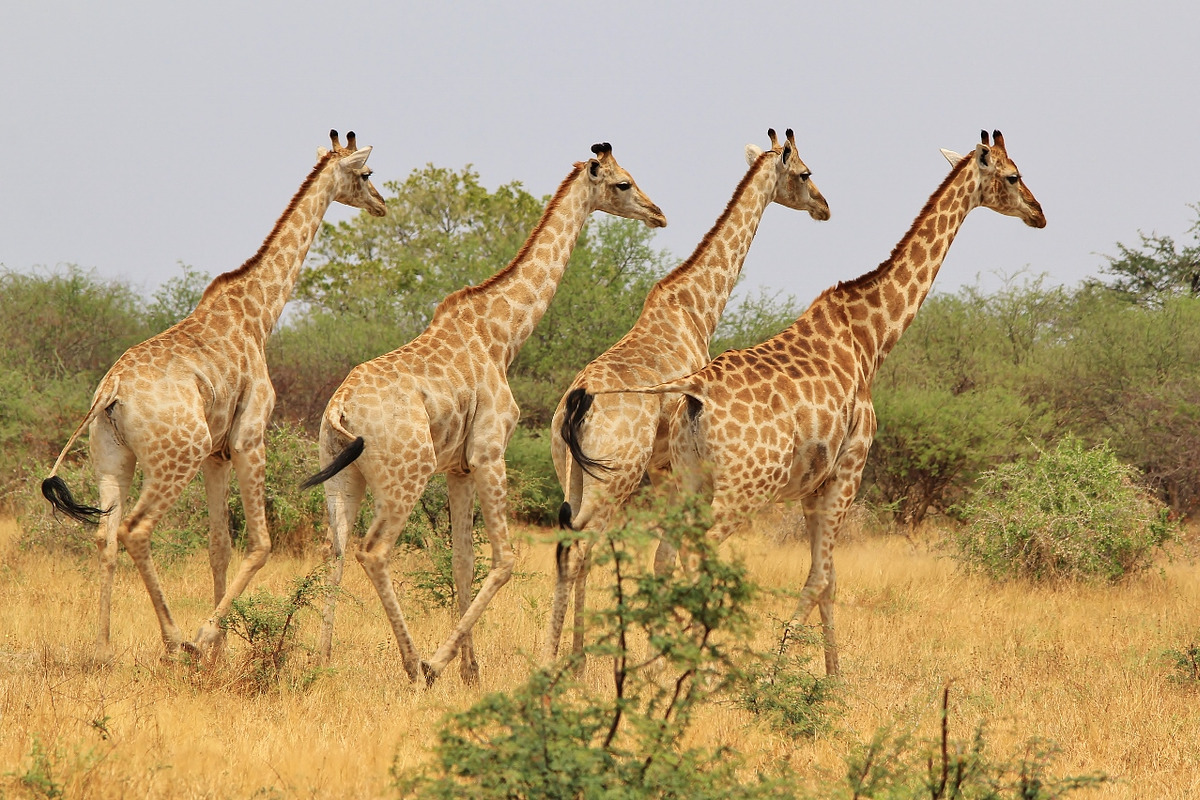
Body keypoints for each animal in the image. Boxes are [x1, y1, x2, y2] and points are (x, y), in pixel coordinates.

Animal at [42, 131, 387, 663]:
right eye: (367, 174)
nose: (382, 205)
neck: (261, 311)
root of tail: (111, 391)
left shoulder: (216, 455)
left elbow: (218, 545)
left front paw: (220, 648)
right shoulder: (249, 437)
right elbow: (261, 544)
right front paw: (207, 638)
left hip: (113, 456)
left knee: (105, 535)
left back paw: (101, 648)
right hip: (175, 456)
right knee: (135, 529)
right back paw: (175, 640)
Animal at [301, 143, 666, 686]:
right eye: (623, 183)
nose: (658, 213)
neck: (503, 335)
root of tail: (340, 409)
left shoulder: (458, 466)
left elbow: (461, 561)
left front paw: (470, 671)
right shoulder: (489, 452)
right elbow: (504, 560)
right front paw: (443, 663)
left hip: (342, 477)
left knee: (338, 548)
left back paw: (322, 662)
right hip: (406, 474)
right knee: (374, 551)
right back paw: (415, 665)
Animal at [543, 129, 830, 664]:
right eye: (805, 173)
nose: (824, 207)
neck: (698, 306)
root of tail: (576, 403)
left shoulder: (665, 467)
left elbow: (663, 555)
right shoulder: (670, 465)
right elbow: (668, 554)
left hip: (568, 472)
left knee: (568, 544)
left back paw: (559, 659)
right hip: (615, 476)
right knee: (585, 546)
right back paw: (578, 663)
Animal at [598, 130, 1044, 675]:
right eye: (1013, 176)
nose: (1039, 213)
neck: (873, 338)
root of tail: (694, 392)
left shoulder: (814, 487)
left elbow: (828, 582)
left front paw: (832, 677)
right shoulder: (849, 471)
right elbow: (817, 580)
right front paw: (778, 673)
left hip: (688, 478)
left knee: (665, 555)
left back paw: (660, 663)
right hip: (740, 489)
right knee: (693, 559)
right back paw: (698, 667)